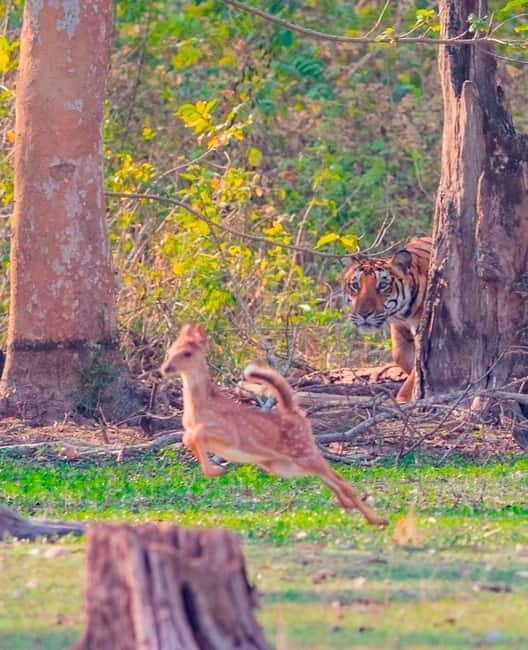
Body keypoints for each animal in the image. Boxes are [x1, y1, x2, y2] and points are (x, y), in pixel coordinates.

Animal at [343, 237, 432, 403]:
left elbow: (417, 368)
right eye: (355, 285)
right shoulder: (399, 328)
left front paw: (404, 398)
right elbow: (400, 356)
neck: (404, 313)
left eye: (383, 285)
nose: (364, 313)